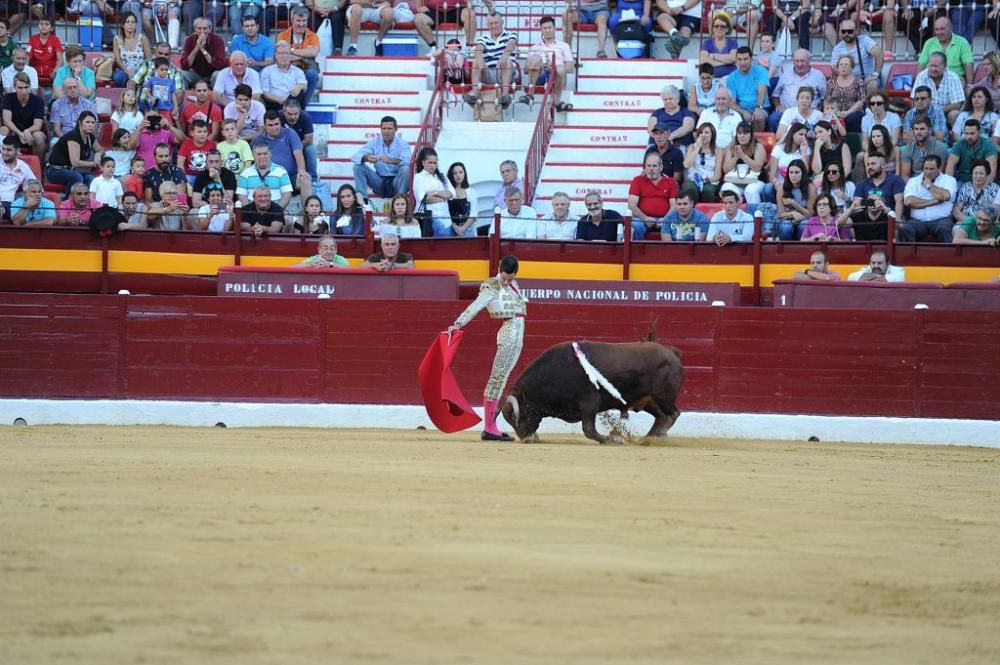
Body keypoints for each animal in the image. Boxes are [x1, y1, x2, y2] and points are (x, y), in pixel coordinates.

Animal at [500, 340, 688, 444]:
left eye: (520, 415)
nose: (526, 439)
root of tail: (671, 352)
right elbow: (588, 429)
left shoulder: (589, 403)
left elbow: (588, 429)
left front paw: (611, 439)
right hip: (646, 400)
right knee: (661, 416)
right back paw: (648, 438)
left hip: (663, 397)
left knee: (672, 414)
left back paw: (657, 436)